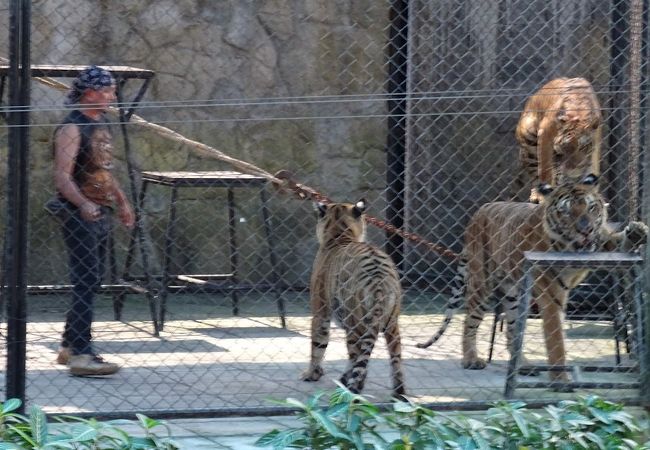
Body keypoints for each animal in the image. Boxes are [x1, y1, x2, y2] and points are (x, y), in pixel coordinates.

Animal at [300, 200, 404, 398]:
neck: (340, 234)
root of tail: (379, 279)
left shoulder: (320, 312)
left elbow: (318, 345)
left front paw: (311, 374)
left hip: (355, 324)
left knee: (356, 357)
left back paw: (351, 389)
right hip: (392, 325)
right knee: (395, 360)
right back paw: (399, 394)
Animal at [418, 174, 644, 384]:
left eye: (590, 207)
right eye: (566, 211)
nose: (586, 230)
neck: (573, 248)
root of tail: (480, 210)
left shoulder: (603, 243)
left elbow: (618, 243)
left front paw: (637, 231)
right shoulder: (550, 292)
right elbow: (555, 336)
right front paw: (560, 379)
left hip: (515, 294)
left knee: (511, 331)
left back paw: (524, 366)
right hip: (482, 283)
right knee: (470, 322)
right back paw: (471, 359)